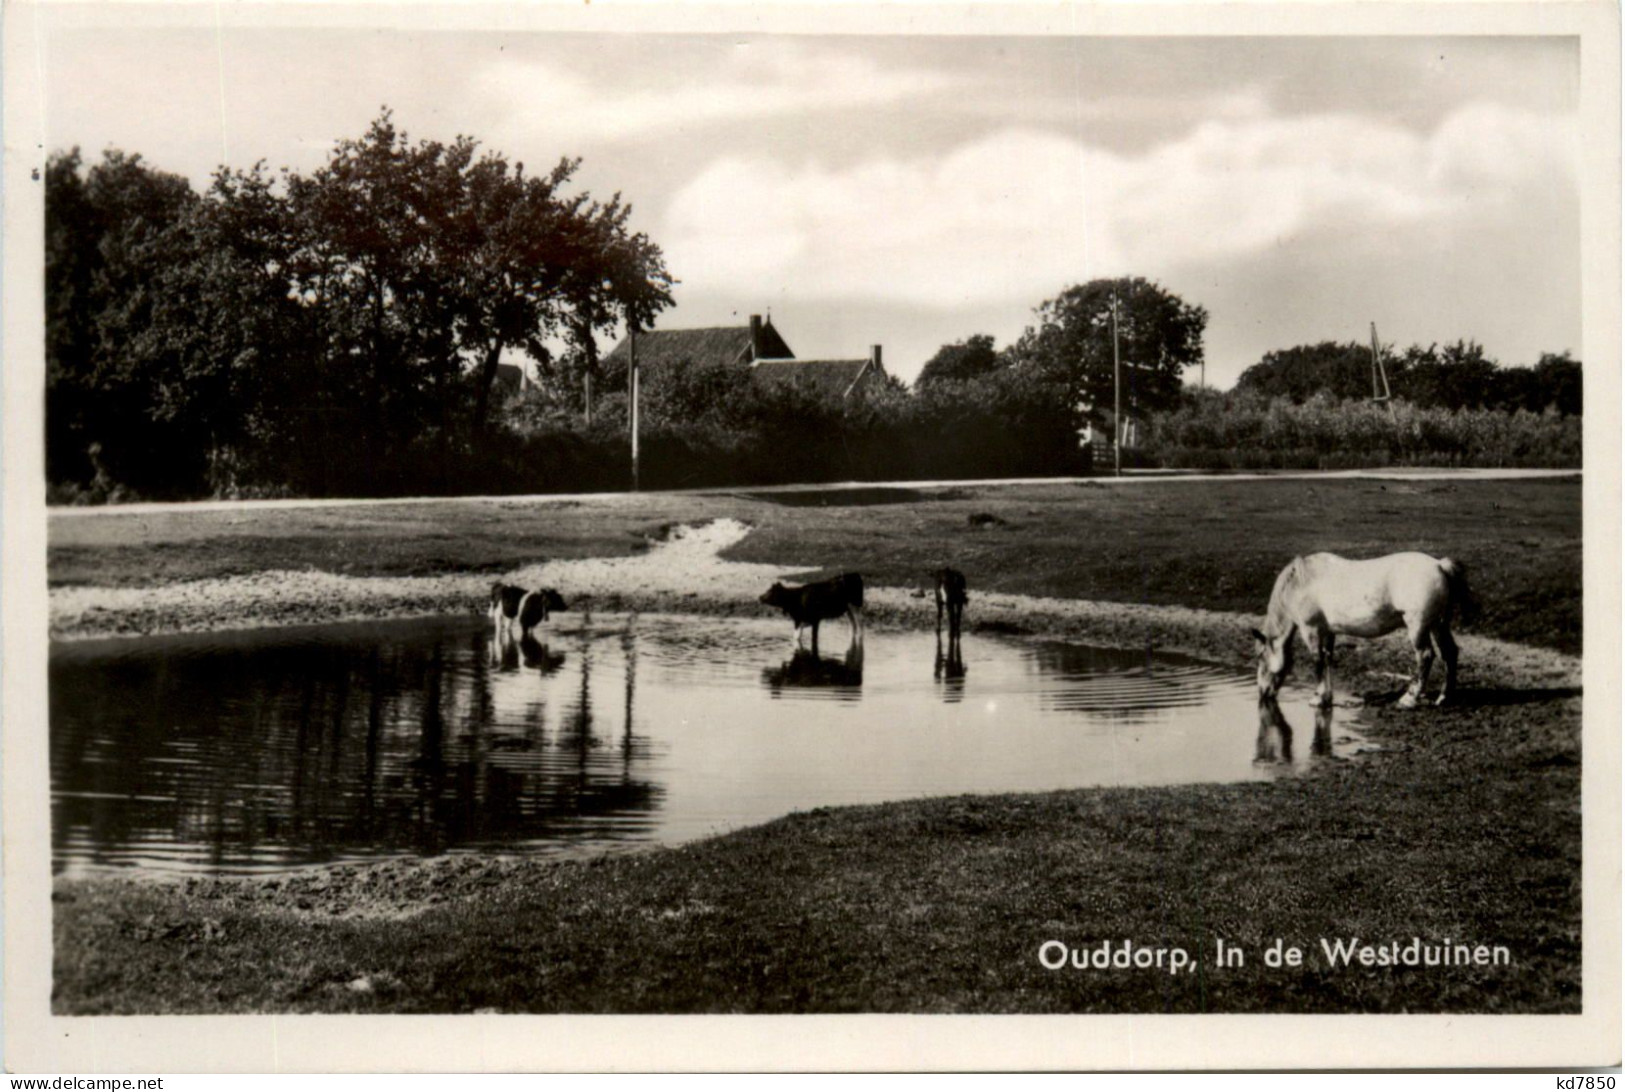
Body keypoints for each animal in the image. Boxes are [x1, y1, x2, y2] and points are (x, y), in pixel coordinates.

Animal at [1254, 555, 1475, 708]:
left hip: (1418, 626)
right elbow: (1327, 659)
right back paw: (1444, 697)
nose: (1262, 693)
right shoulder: (1328, 632)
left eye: (1261, 657)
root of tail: (1439, 564)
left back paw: (1409, 699)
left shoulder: (1311, 630)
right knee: (1449, 653)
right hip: (1438, 625)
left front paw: (1317, 699)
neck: (1302, 582)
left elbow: (1317, 662)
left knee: (1425, 656)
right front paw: (1327, 697)